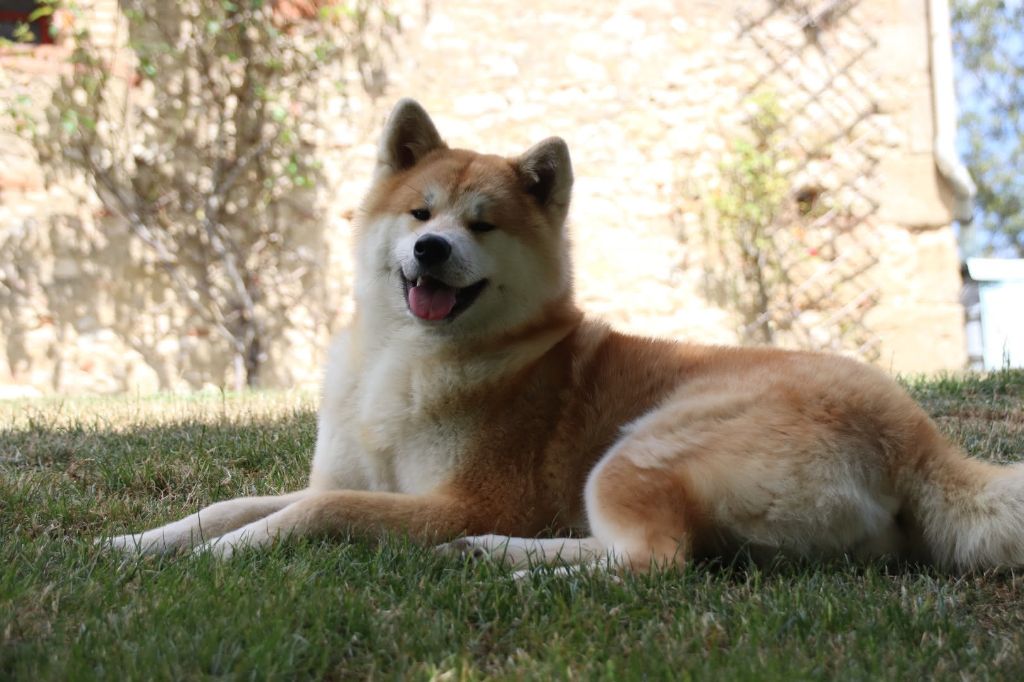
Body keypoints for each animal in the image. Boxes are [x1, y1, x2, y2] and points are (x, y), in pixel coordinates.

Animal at [105, 98, 1024, 569]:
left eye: (484, 223)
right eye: (421, 214)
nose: (432, 250)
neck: (402, 365)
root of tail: (918, 438)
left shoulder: (454, 499)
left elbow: (314, 511)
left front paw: (224, 555)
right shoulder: (352, 475)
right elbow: (237, 502)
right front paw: (141, 542)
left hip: (635, 453)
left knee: (649, 559)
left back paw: (500, 554)